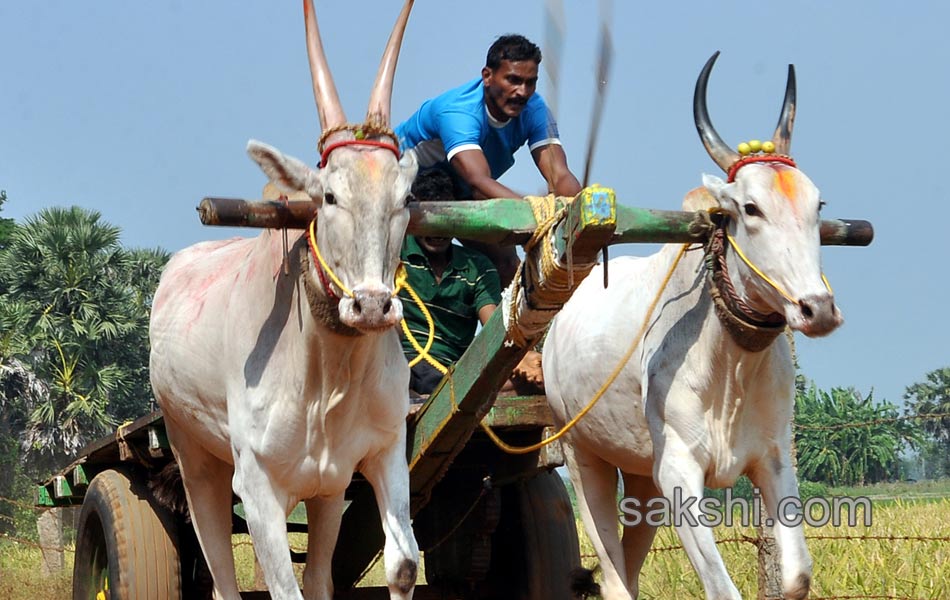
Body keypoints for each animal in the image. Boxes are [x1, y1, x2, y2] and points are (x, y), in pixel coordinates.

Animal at [148, 2, 416, 596]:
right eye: (329, 195)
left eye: (406, 198)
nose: (372, 306)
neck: (327, 373)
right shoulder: (257, 485)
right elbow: (281, 586)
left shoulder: (376, 456)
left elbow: (401, 566)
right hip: (193, 457)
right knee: (220, 574)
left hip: (324, 493)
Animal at [548, 52, 844, 600]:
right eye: (749, 207)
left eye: (817, 206)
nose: (818, 308)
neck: (730, 360)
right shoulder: (679, 471)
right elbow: (723, 589)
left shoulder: (775, 459)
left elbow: (797, 575)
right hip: (582, 455)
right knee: (615, 578)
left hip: (641, 476)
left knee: (630, 570)